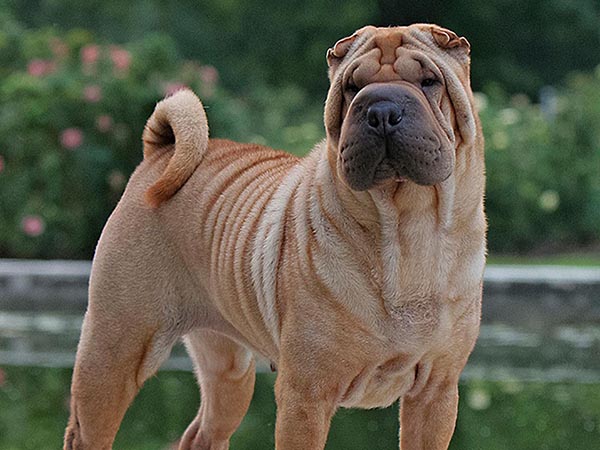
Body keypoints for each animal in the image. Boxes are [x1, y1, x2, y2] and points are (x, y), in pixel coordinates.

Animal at [65, 22, 488, 448]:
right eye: (352, 87)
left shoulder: (436, 390)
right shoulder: (306, 394)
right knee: (87, 430)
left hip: (228, 371)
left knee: (203, 432)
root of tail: (160, 153)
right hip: (115, 349)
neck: (406, 230)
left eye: (429, 81)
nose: (381, 109)